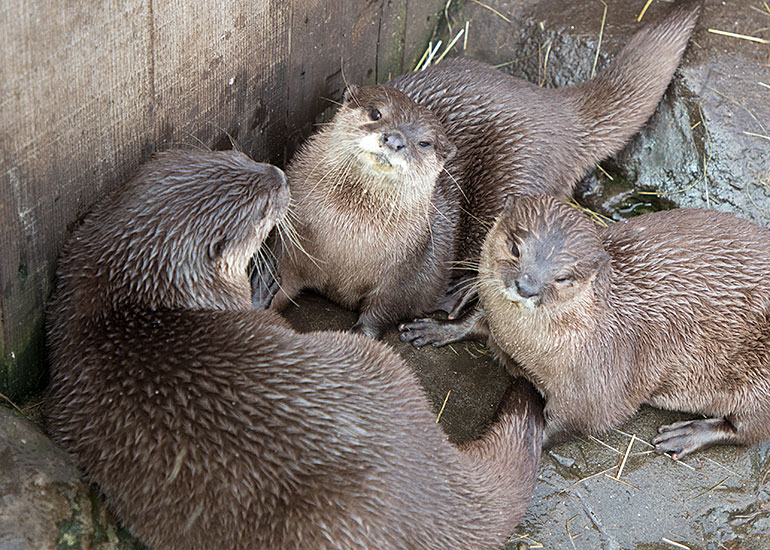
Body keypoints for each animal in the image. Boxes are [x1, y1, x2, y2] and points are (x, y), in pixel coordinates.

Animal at [271, 1, 700, 338]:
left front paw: (364, 334)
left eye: (425, 142)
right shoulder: (292, 240)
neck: (348, 240)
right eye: (376, 113)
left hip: (517, 175)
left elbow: (386, 309)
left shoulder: (409, 271)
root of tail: (558, 112)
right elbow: (281, 282)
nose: (396, 140)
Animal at [401, 194, 770, 459]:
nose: (527, 286)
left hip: (759, 380)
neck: (526, 346)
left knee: (748, 429)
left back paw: (687, 434)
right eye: (515, 247)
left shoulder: (594, 383)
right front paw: (437, 327)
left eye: (563, 277)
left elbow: (572, 423)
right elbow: (475, 321)